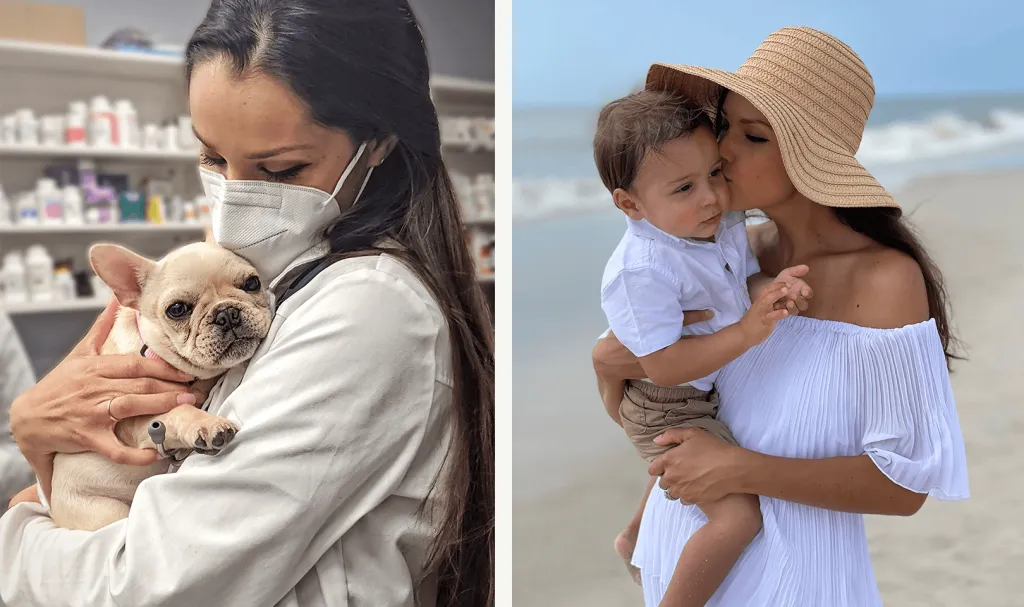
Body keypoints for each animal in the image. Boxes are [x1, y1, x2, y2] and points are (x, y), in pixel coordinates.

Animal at [48, 241, 272, 532]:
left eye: (252, 283)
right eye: (177, 309)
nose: (227, 313)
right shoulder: (135, 417)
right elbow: (178, 411)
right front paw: (205, 423)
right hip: (102, 510)